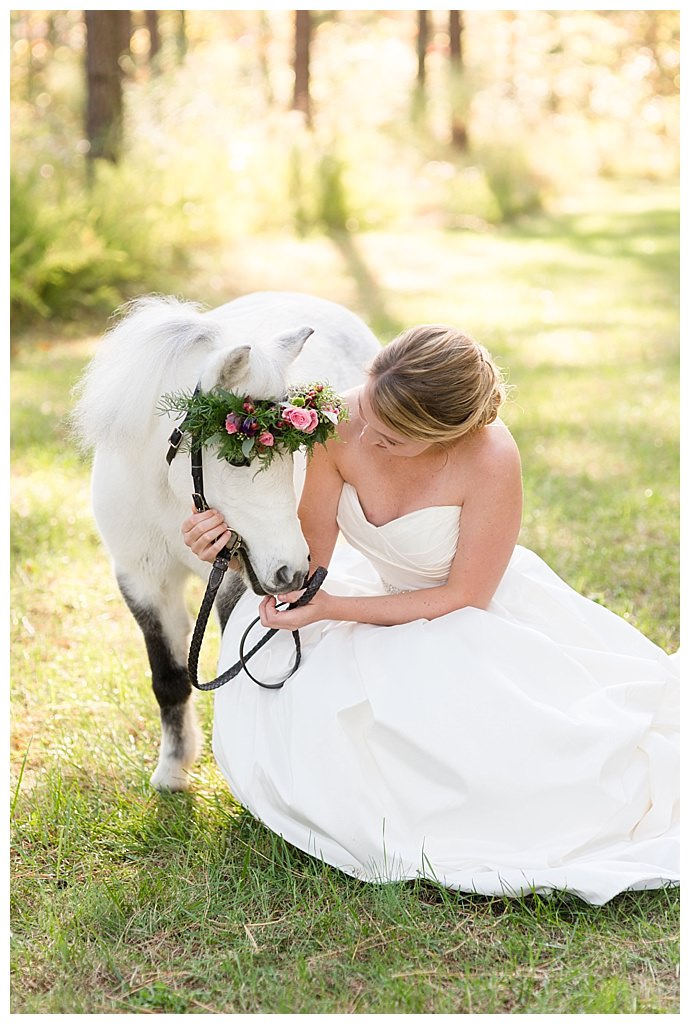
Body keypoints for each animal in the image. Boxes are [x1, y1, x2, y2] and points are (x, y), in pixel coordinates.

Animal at [73, 292, 380, 786]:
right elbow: (169, 679)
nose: (292, 571)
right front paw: (171, 773)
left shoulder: (235, 584)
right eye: (239, 459)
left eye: (296, 453)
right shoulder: (142, 581)